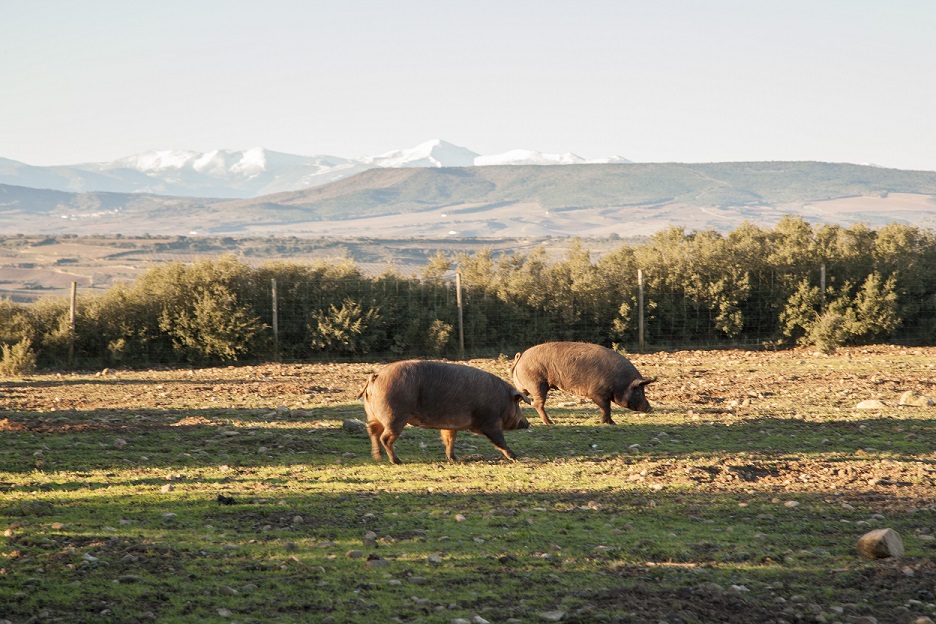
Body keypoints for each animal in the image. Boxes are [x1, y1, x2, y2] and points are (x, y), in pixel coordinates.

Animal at [358, 360, 532, 464]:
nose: (528, 423)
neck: (502, 400)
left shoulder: (450, 424)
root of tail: (376, 376)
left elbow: (450, 440)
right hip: (395, 416)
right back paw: (397, 461)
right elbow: (499, 440)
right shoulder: (490, 421)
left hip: (373, 415)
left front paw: (454, 459)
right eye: (518, 404)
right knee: (385, 437)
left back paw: (378, 457)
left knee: (373, 432)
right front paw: (515, 457)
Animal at [508, 342, 656, 424]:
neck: (620, 382)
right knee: (537, 404)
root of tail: (521, 357)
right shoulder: (597, 393)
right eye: (638, 391)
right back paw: (550, 423)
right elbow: (606, 407)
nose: (650, 408)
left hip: (525, 387)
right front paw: (611, 423)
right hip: (537, 385)